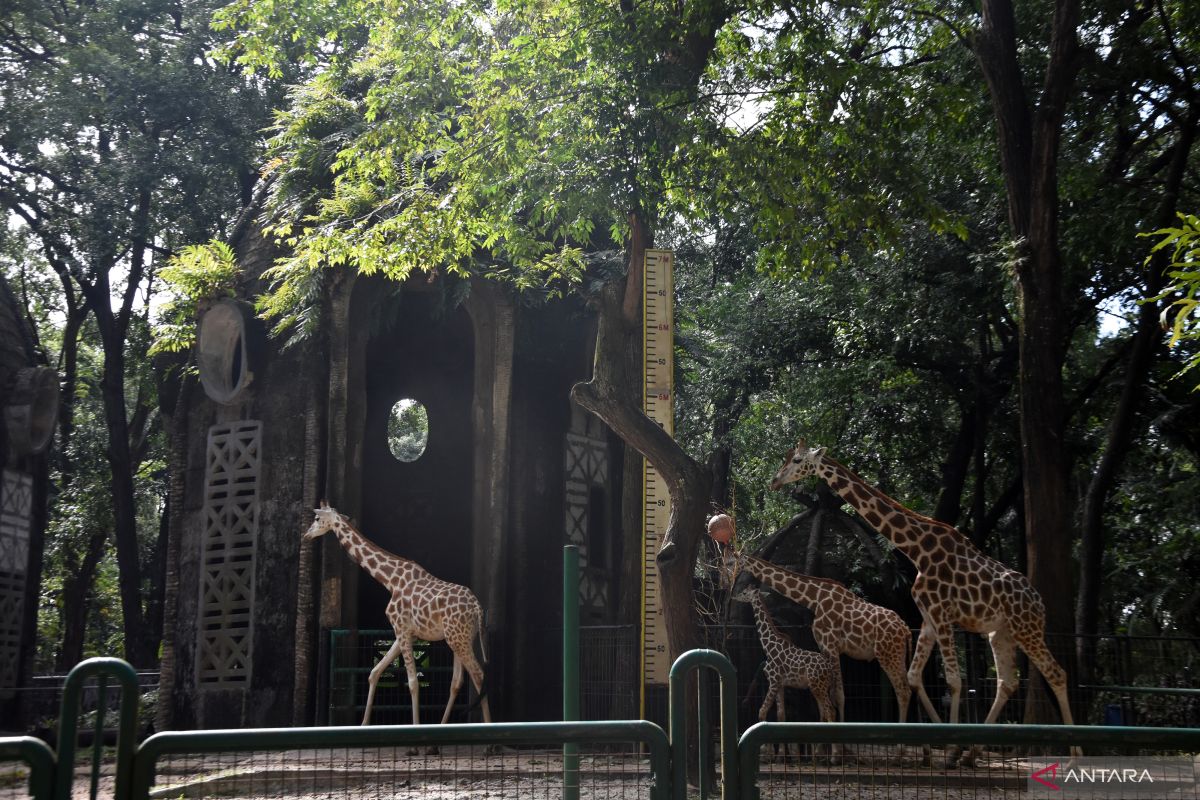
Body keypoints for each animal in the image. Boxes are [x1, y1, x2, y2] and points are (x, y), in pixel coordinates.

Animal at [304, 506, 492, 734]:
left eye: (317, 518)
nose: (306, 535)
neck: (390, 580)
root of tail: (477, 608)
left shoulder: (401, 629)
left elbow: (412, 682)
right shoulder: (406, 633)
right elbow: (374, 671)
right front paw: (364, 724)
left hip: (458, 638)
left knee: (478, 675)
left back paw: (490, 733)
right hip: (459, 638)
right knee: (458, 681)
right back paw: (442, 729)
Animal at [720, 551, 907, 724]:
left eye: (731, 562)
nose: (727, 584)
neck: (814, 598)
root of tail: (905, 629)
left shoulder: (830, 643)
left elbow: (839, 695)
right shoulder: (822, 645)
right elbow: (831, 697)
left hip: (887, 655)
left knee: (902, 691)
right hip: (898, 656)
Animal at [772, 441, 1084, 762]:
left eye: (796, 460)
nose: (775, 480)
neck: (917, 548)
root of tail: (1039, 601)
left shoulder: (941, 611)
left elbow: (954, 681)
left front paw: (951, 747)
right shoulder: (928, 615)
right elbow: (914, 676)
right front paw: (946, 744)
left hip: (1026, 628)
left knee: (1056, 673)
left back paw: (1074, 753)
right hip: (1001, 633)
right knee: (1007, 682)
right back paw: (973, 751)